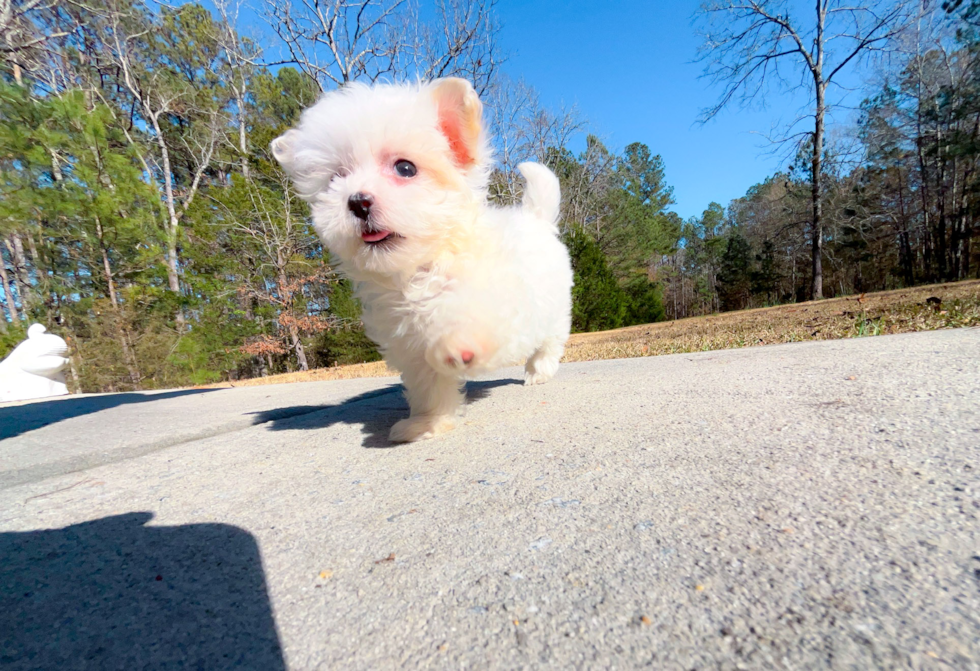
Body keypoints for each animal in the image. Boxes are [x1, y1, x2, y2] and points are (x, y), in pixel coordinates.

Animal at [272, 79, 572, 444]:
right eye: (334, 179)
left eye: (405, 168)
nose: (357, 201)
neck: (422, 267)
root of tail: (537, 219)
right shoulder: (409, 342)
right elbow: (429, 384)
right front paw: (428, 423)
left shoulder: (499, 300)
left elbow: (474, 318)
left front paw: (460, 343)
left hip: (554, 306)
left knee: (550, 339)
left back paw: (538, 370)